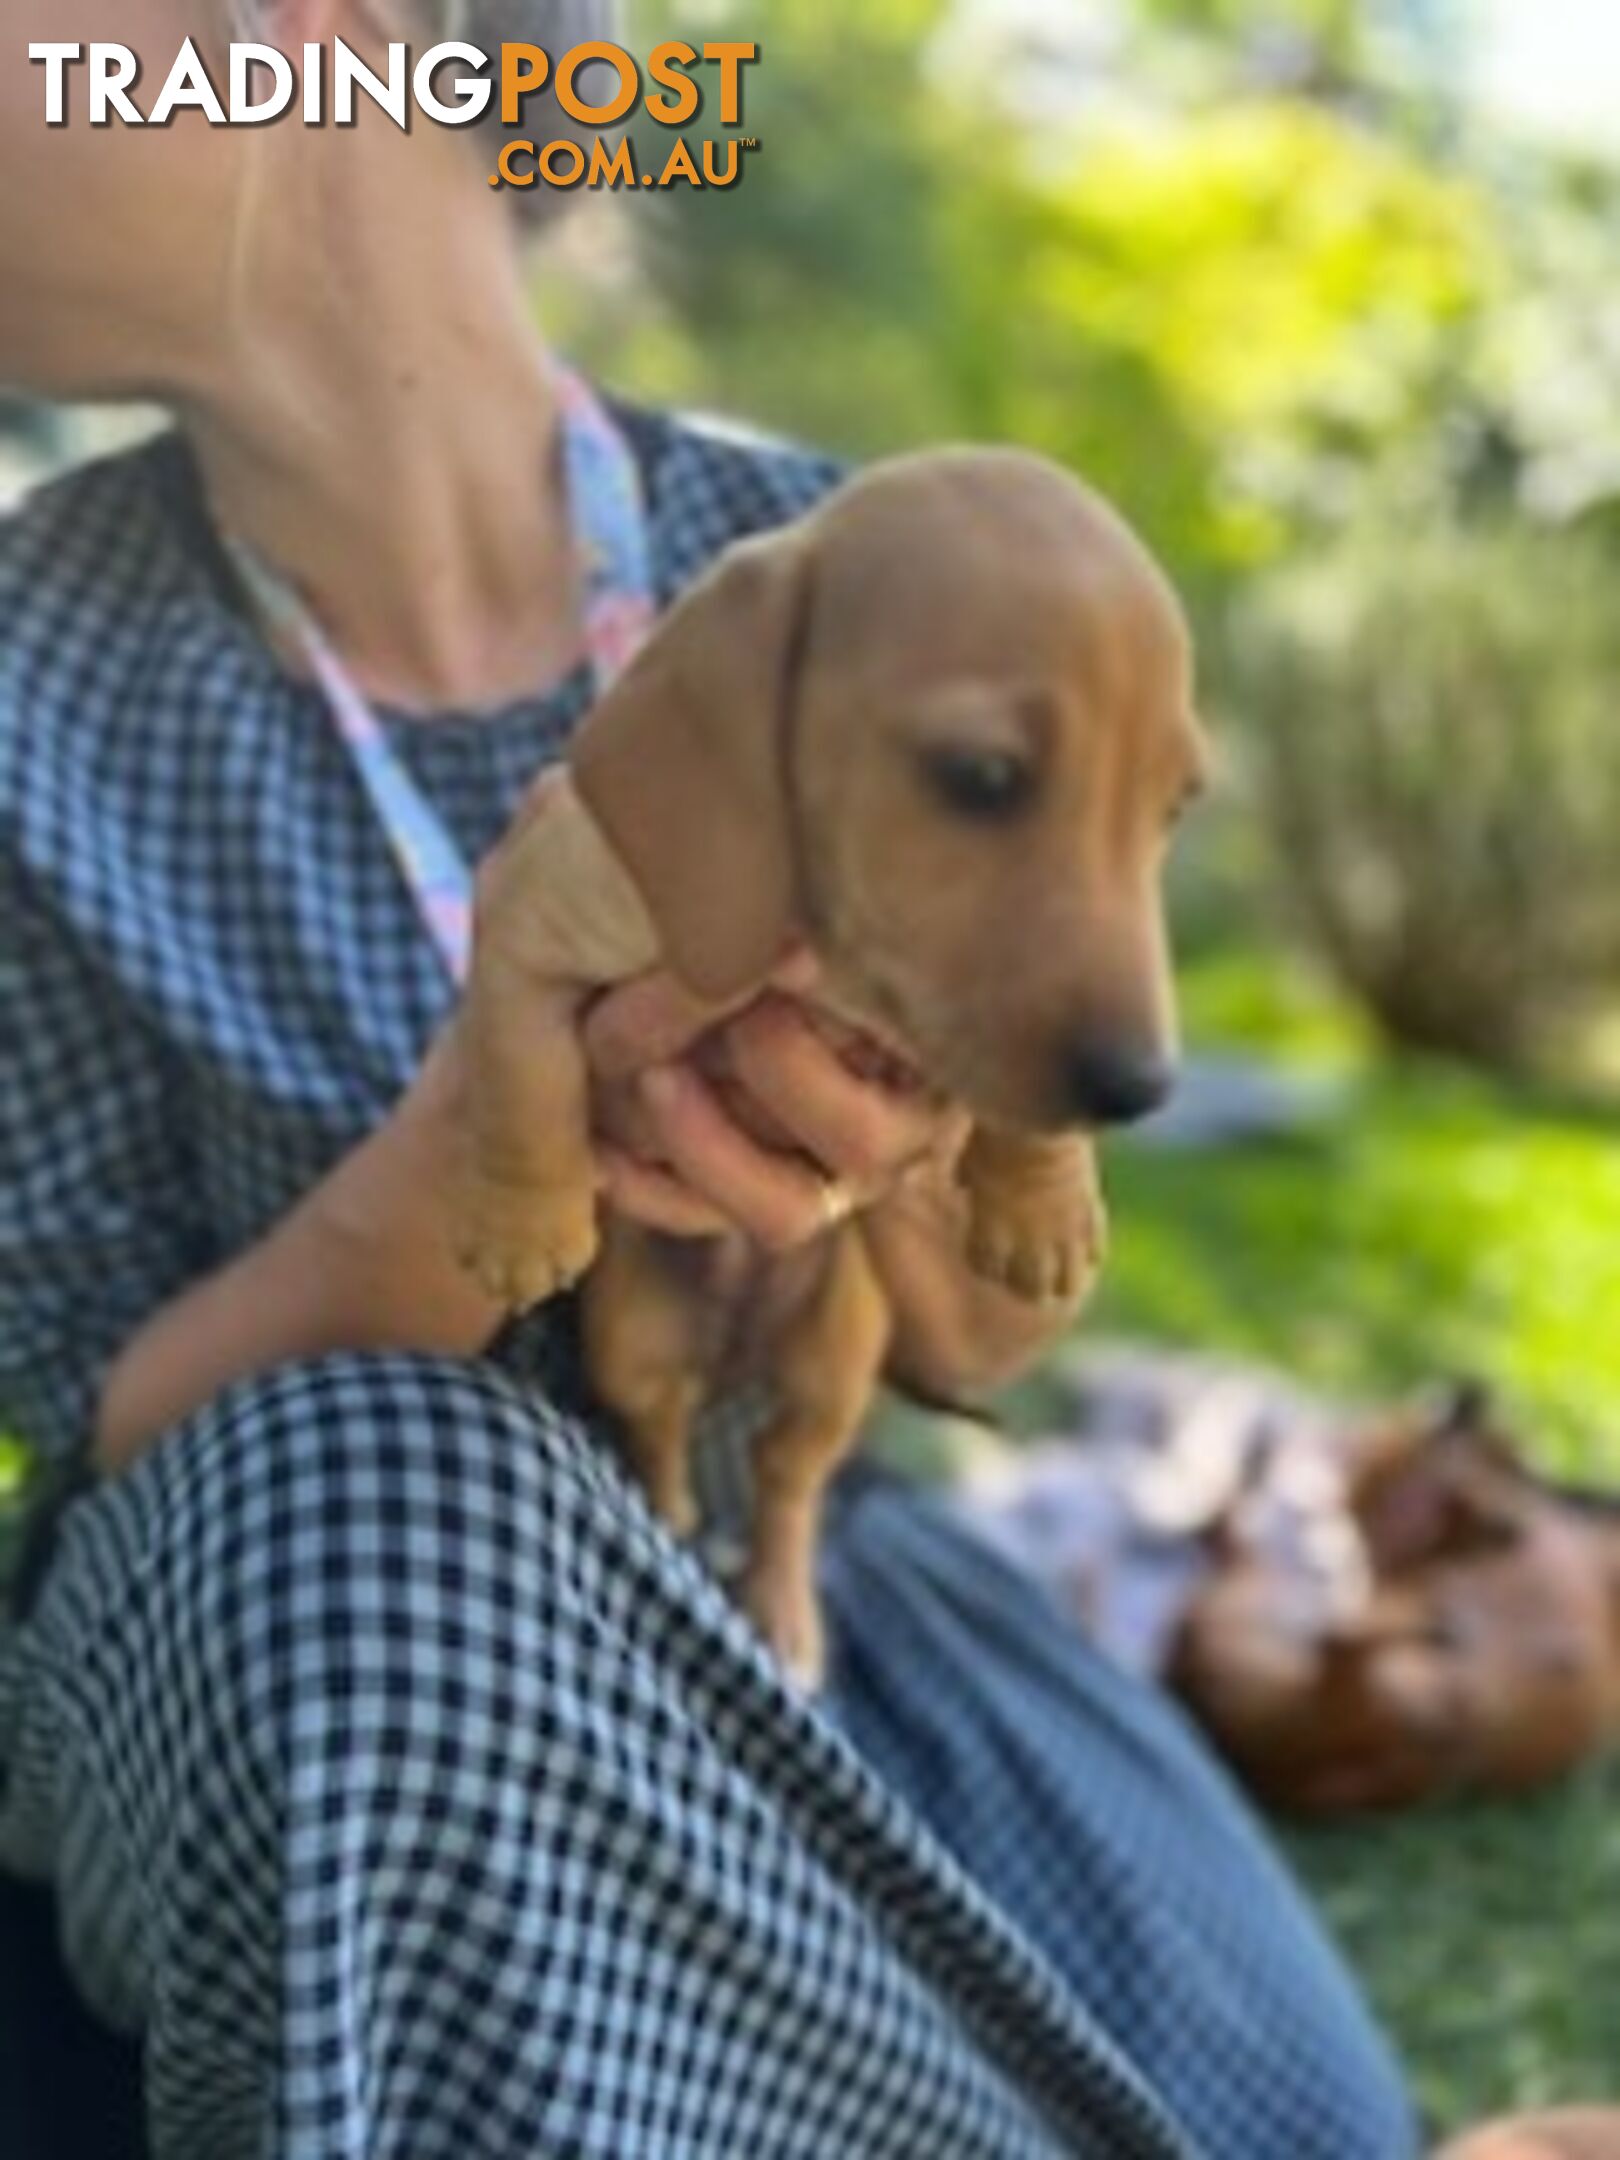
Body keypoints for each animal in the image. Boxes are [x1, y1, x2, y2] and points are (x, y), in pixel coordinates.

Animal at [453, 451, 1209, 1684]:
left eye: (1173, 808)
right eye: (982, 775)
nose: (1140, 1091)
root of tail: (733, 1347)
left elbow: (1018, 1089)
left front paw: (1043, 1207)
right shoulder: (528, 921)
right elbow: (518, 1076)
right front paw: (520, 1221)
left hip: (836, 1359)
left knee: (787, 1486)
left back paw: (785, 1610)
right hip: (633, 1338)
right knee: (663, 1440)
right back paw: (679, 1520)